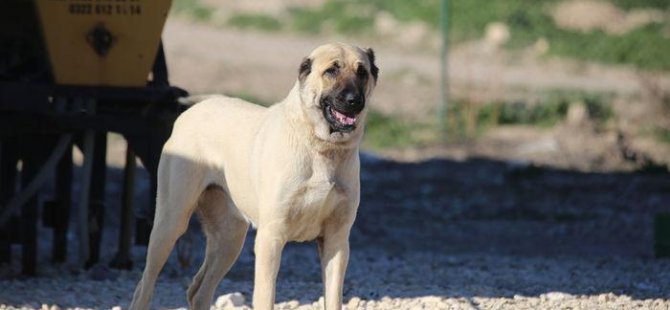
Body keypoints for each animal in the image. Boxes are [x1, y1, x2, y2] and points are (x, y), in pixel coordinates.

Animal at [126, 42, 378, 308]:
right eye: (331, 71)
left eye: (362, 72)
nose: (354, 100)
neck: (321, 147)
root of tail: (192, 110)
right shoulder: (271, 238)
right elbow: (265, 297)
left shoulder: (336, 241)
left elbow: (333, 297)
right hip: (170, 223)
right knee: (145, 285)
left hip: (230, 238)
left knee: (198, 290)